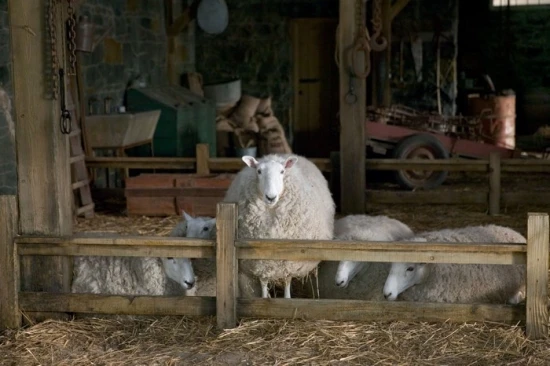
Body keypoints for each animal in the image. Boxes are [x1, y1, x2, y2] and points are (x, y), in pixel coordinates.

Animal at [223, 152, 336, 298]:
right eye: (259, 171)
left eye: (282, 171)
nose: (271, 197)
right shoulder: (260, 262)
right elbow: (264, 282)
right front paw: (264, 298)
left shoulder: (288, 261)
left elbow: (287, 281)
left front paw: (287, 298)